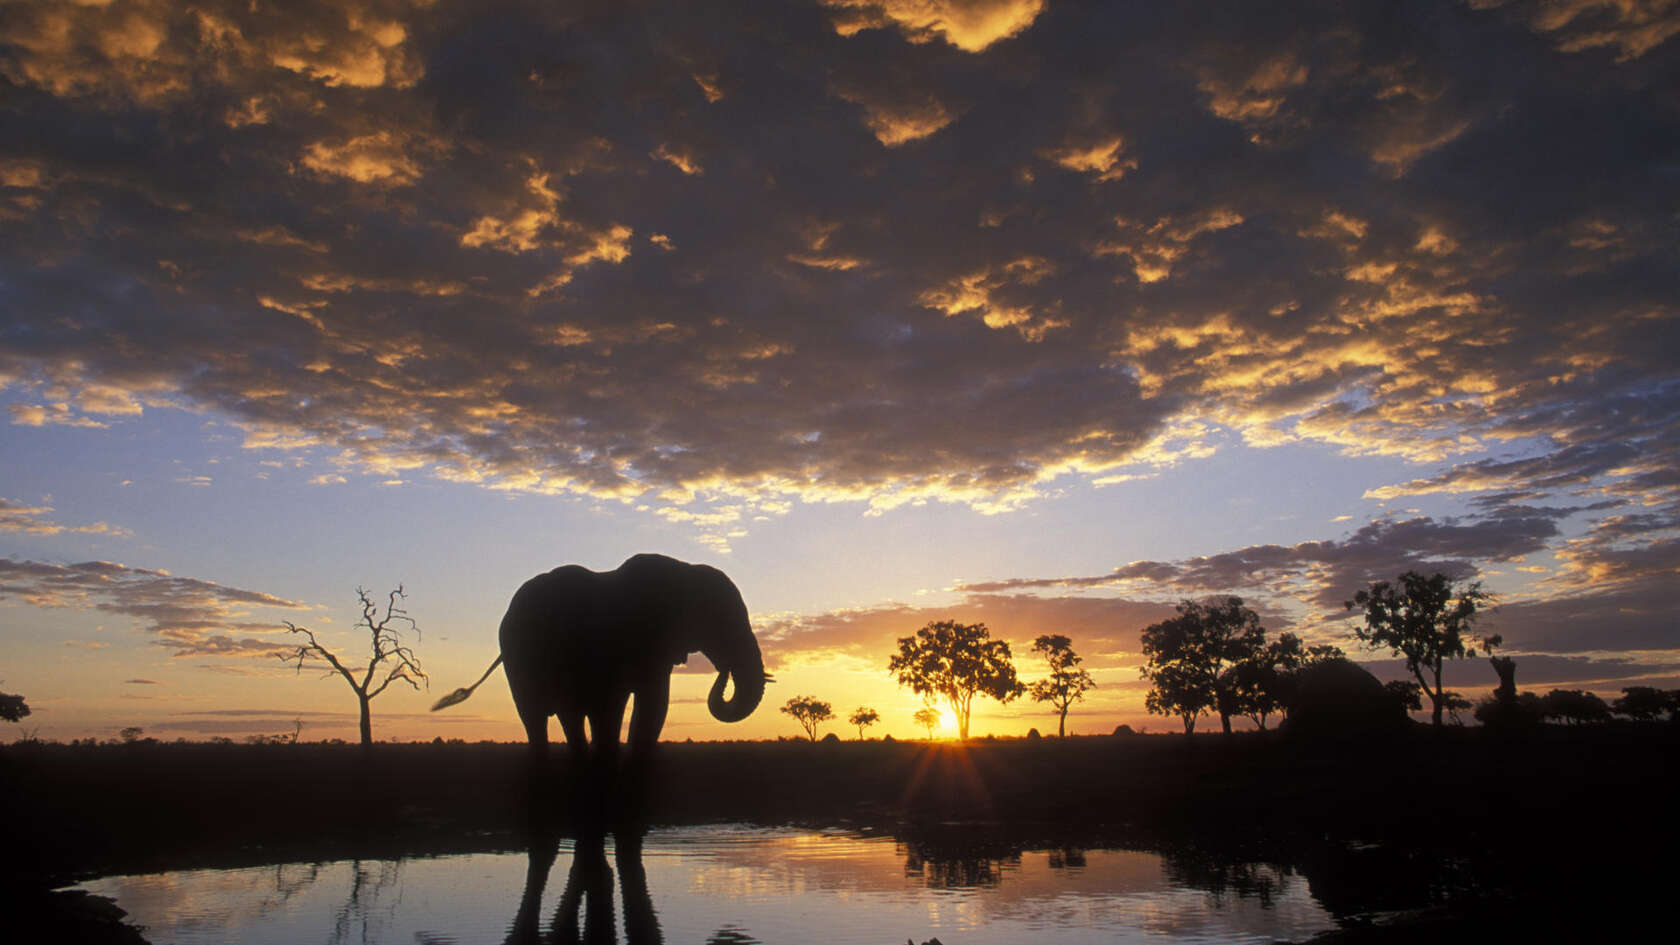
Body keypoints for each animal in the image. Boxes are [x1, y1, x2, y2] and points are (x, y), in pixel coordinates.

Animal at [433, 551, 772, 766]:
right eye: (719, 621)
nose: (724, 670)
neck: (682, 569)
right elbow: (613, 707)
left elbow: (654, 705)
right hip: (520, 660)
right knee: (539, 718)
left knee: (570, 715)